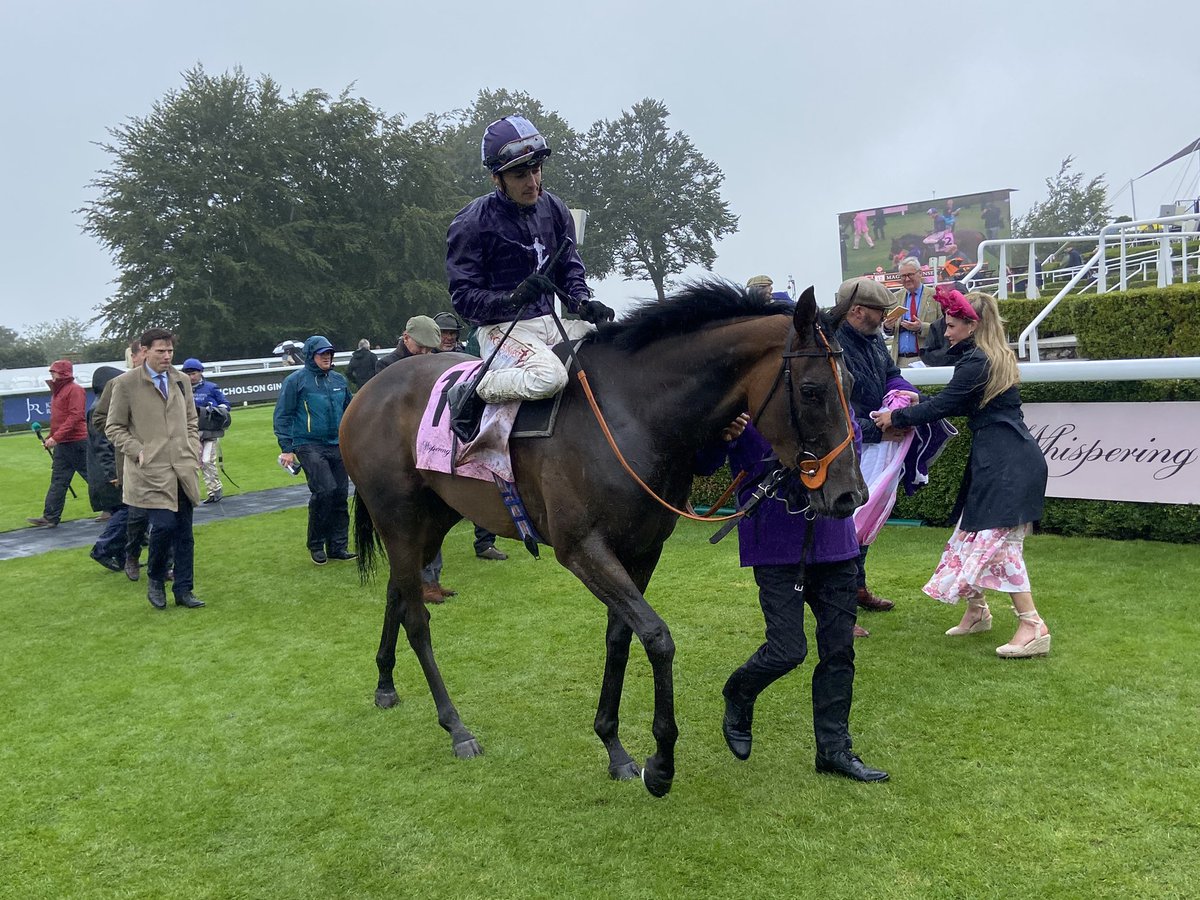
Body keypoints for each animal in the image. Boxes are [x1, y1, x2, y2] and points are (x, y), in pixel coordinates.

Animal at [338, 280, 864, 796]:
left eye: (851, 384)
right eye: (812, 391)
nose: (849, 495)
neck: (630, 415)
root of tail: (367, 391)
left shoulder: (643, 549)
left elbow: (620, 635)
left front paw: (614, 746)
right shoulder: (582, 550)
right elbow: (656, 636)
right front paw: (661, 762)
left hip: (434, 517)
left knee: (397, 593)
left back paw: (385, 682)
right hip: (399, 518)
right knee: (417, 617)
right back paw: (456, 727)